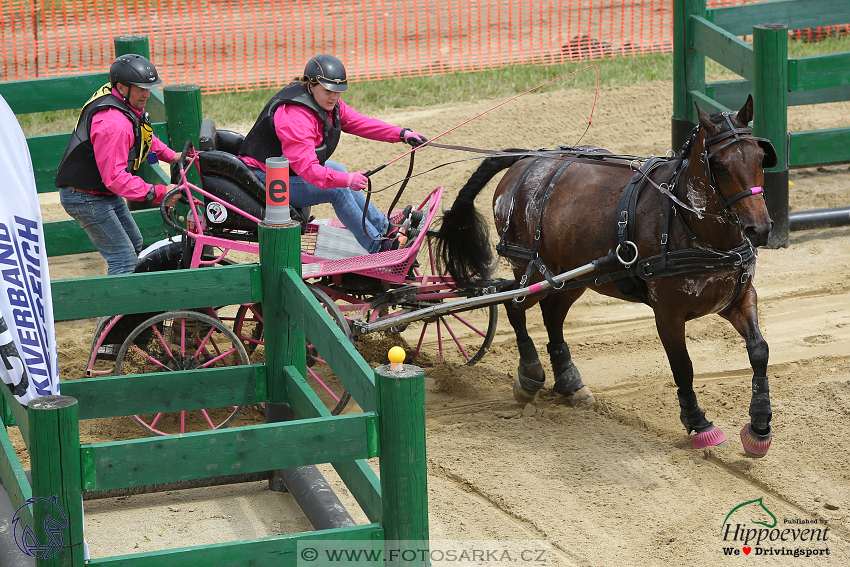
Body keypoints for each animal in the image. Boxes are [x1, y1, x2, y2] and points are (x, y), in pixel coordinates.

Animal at [438, 96, 776, 458]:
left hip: (570, 278)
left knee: (552, 315)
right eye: (722, 166)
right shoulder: (667, 313)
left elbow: (759, 350)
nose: (759, 228)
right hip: (531, 272)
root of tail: (527, 159)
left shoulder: (738, 298)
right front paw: (698, 422)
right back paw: (530, 375)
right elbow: (683, 366)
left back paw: (570, 381)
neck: (686, 221)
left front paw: (759, 426)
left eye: (760, 157)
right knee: (514, 306)